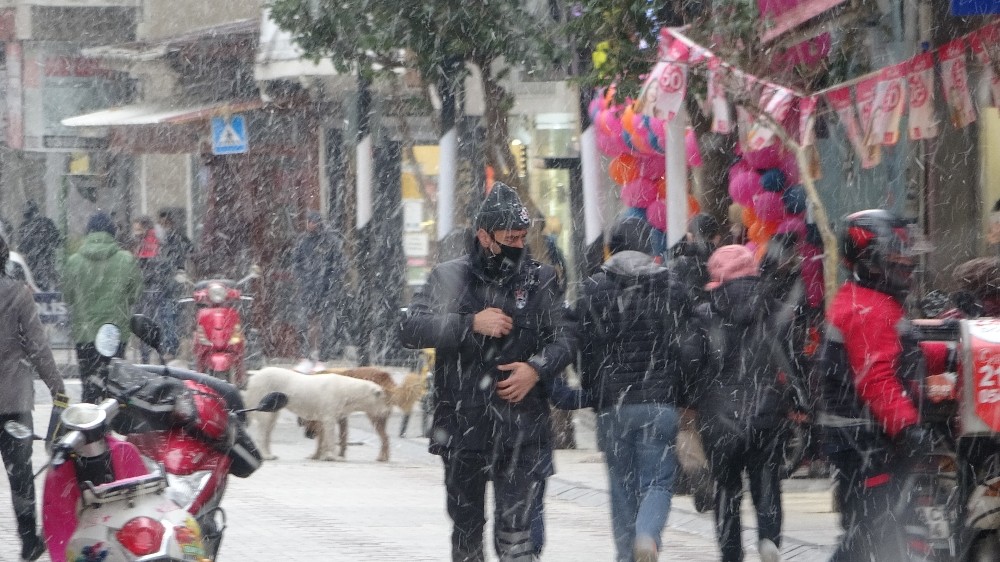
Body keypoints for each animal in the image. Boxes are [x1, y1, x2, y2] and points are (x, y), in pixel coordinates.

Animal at [244, 364, 392, 460]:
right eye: (384, 399)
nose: (387, 412)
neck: (347, 391)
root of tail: (253, 377)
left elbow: (324, 432)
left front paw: (324, 455)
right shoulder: (330, 406)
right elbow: (329, 430)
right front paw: (335, 457)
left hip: (274, 403)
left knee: (270, 423)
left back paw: (271, 454)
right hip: (265, 391)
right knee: (265, 423)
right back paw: (266, 455)